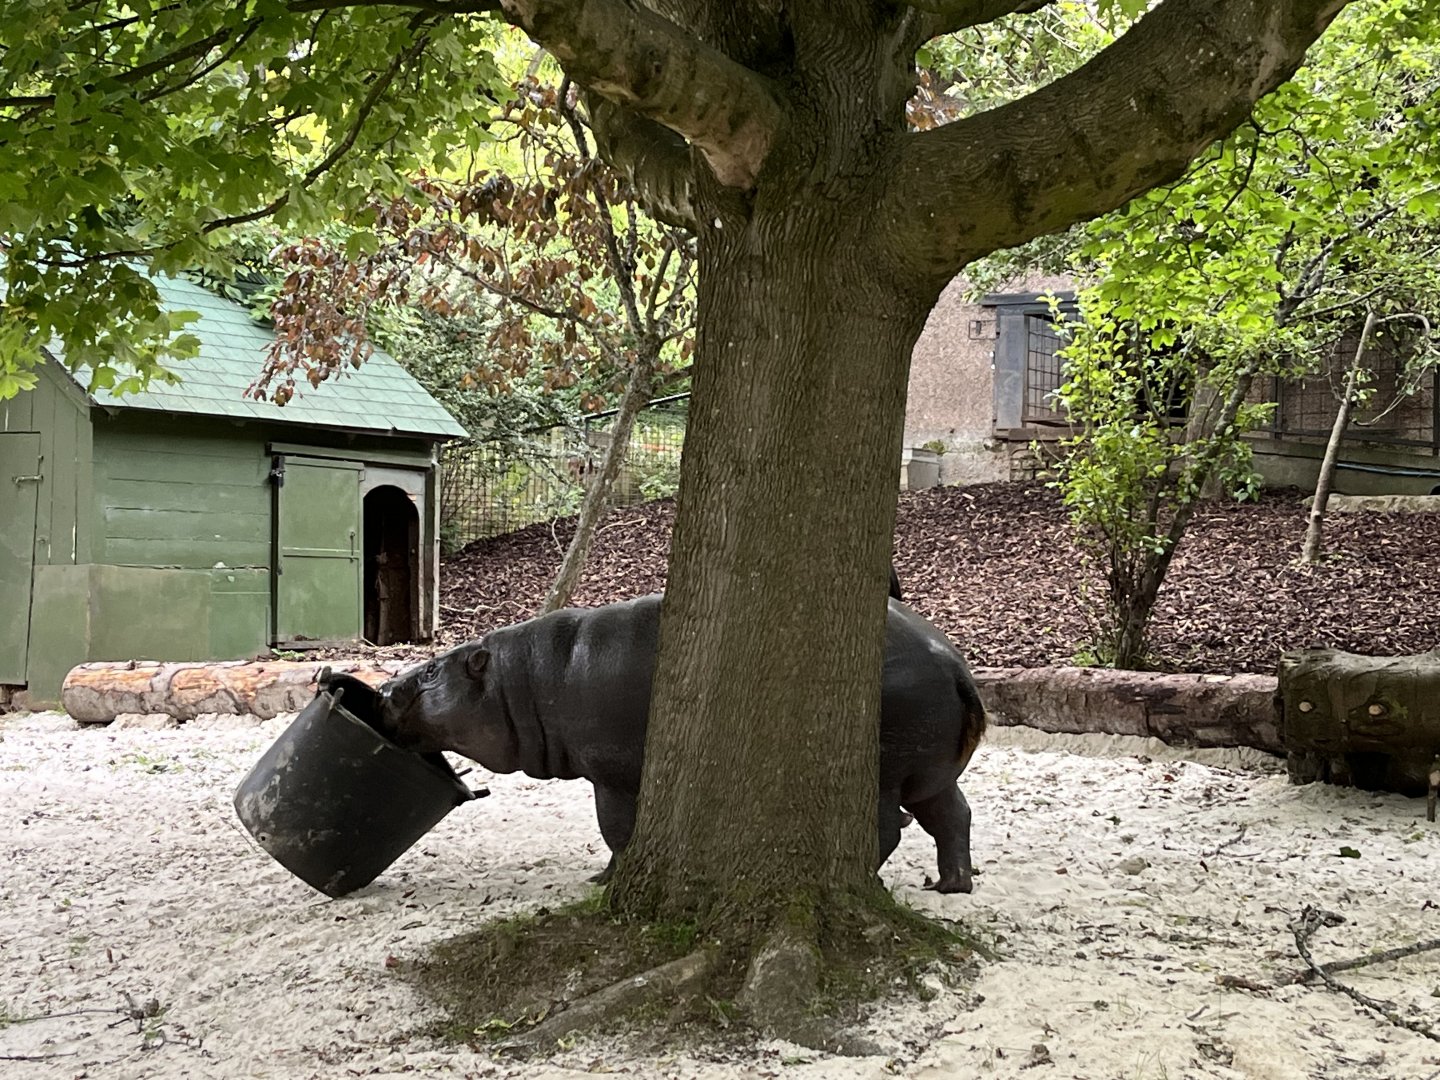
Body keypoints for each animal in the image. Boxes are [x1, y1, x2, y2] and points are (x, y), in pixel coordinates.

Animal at [375, 595, 985, 893]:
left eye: (430, 670)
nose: (382, 687)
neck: (520, 678)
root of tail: (955, 662)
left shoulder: (613, 775)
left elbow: (619, 832)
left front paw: (605, 881)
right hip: (928, 775)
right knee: (953, 816)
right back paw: (950, 886)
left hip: (881, 774)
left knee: (887, 828)